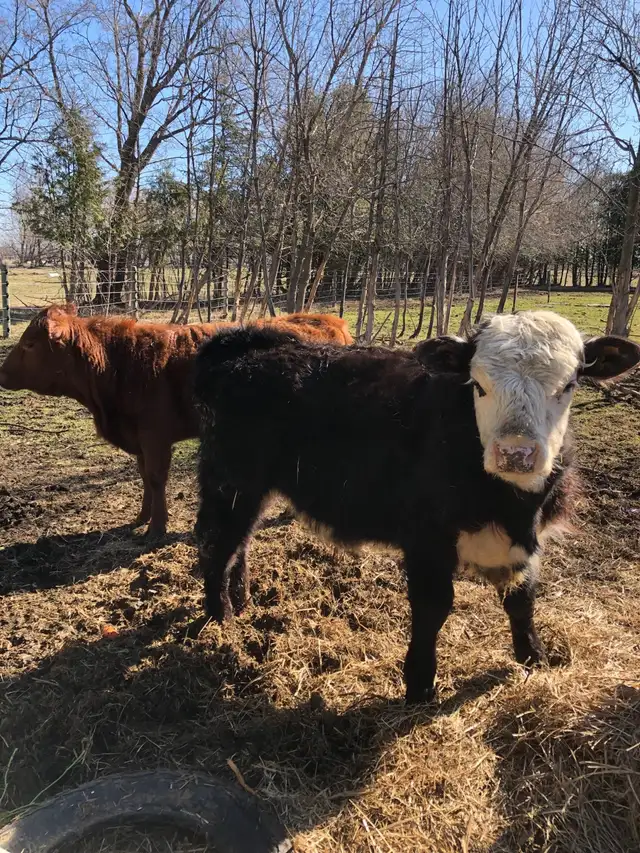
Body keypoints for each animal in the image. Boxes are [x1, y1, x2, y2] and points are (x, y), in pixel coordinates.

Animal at [0, 304, 352, 536]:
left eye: (29, 344)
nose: (1, 373)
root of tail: (329, 321)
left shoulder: (155, 437)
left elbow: (156, 478)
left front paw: (156, 529)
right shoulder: (140, 439)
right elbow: (144, 476)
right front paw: (141, 518)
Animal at [192, 310, 640, 704]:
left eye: (569, 384)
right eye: (478, 385)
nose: (516, 453)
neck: (508, 503)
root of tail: (244, 343)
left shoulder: (526, 543)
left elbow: (522, 599)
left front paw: (534, 658)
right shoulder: (427, 540)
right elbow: (433, 608)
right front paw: (420, 686)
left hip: (252, 489)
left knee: (240, 543)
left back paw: (242, 600)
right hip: (230, 482)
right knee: (217, 543)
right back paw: (221, 617)